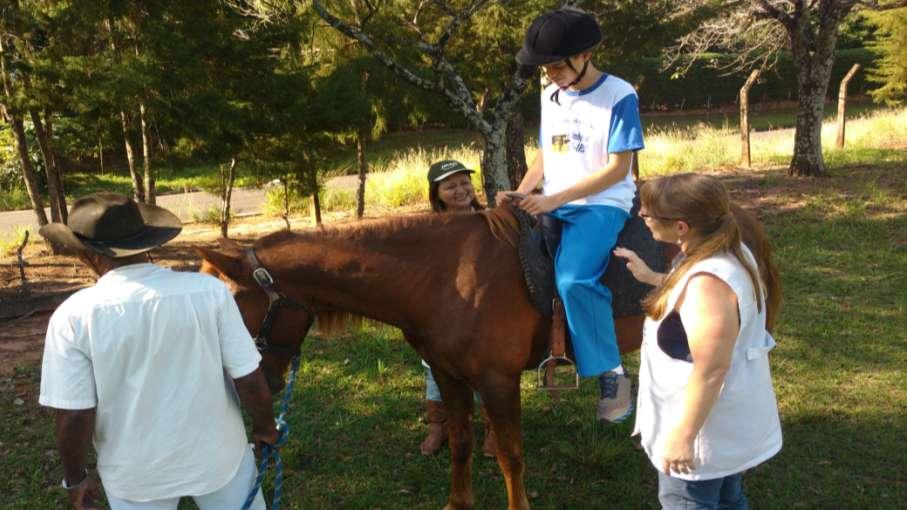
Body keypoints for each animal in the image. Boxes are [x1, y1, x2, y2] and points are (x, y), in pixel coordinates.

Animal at [195, 204, 776, 510]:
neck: (440, 277)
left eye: (231, 310)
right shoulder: (450, 377)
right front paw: (458, 502)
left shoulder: (497, 382)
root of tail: (737, 216)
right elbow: (461, 444)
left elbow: (510, 455)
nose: (257, 391)